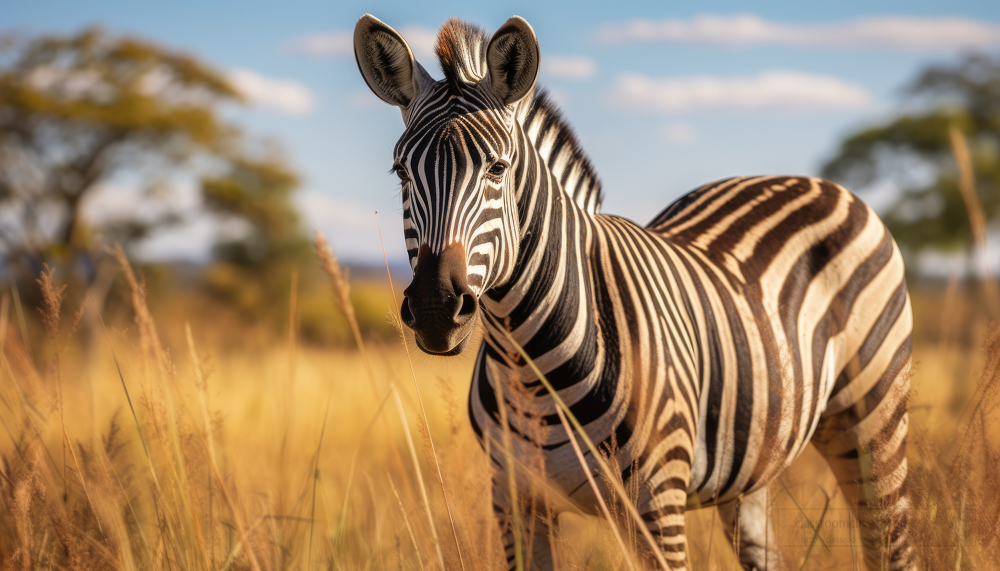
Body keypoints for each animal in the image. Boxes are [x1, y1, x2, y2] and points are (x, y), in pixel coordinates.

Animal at [356, 13, 916, 571]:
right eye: (401, 171)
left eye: (498, 168)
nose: (435, 309)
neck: (529, 367)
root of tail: (807, 180)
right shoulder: (516, 502)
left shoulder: (657, 505)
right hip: (753, 461)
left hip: (875, 425)